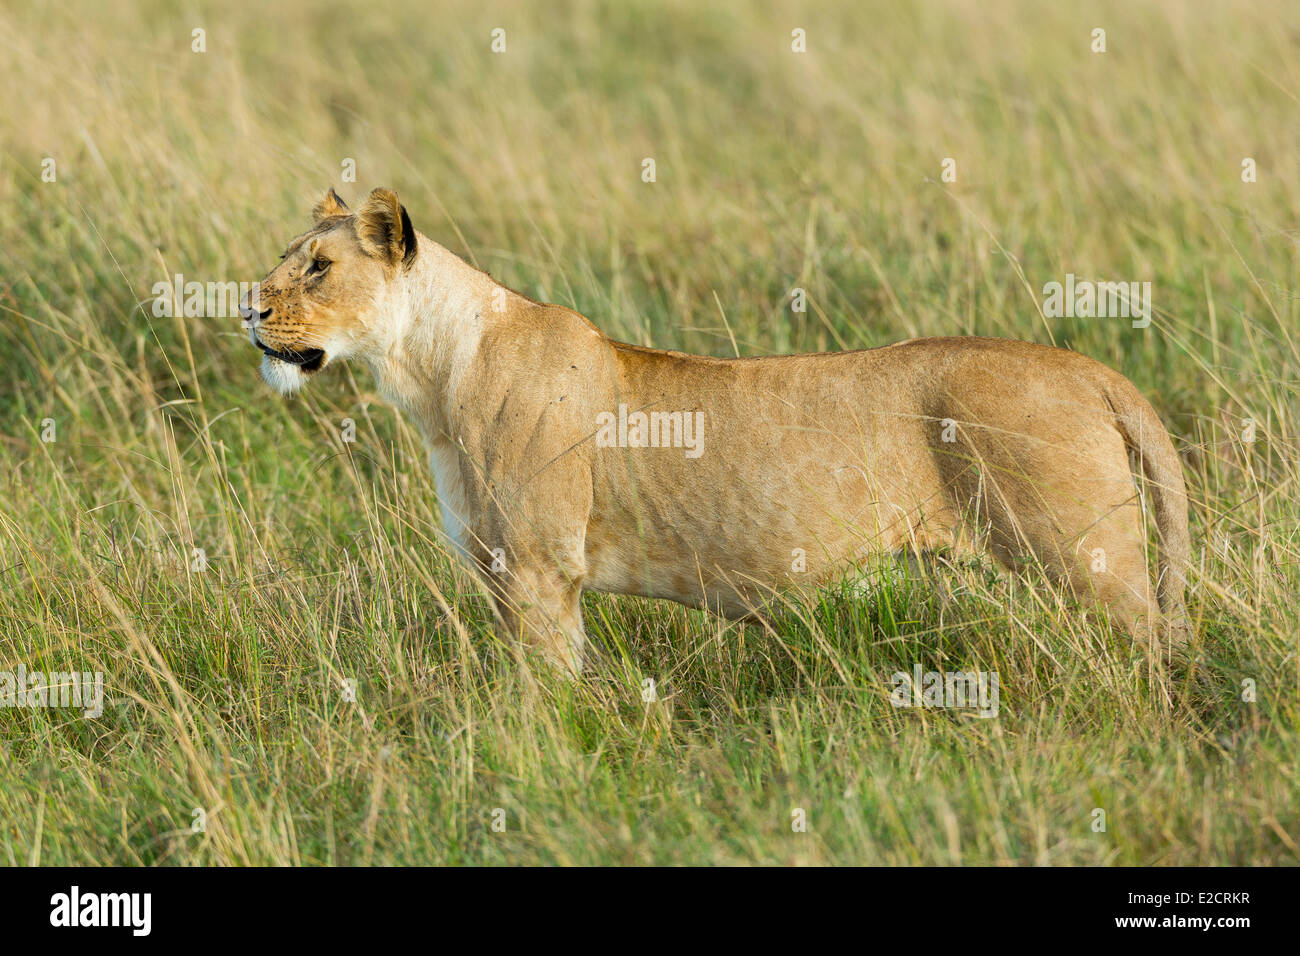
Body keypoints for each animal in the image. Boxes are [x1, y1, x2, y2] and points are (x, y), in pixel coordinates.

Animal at [241, 187, 1192, 674]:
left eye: (318, 268)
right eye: (285, 259)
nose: (249, 309)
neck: (432, 376)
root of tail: (1088, 369)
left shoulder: (543, 568)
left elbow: (546, 694)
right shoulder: (517, 572)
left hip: (1087, 557)